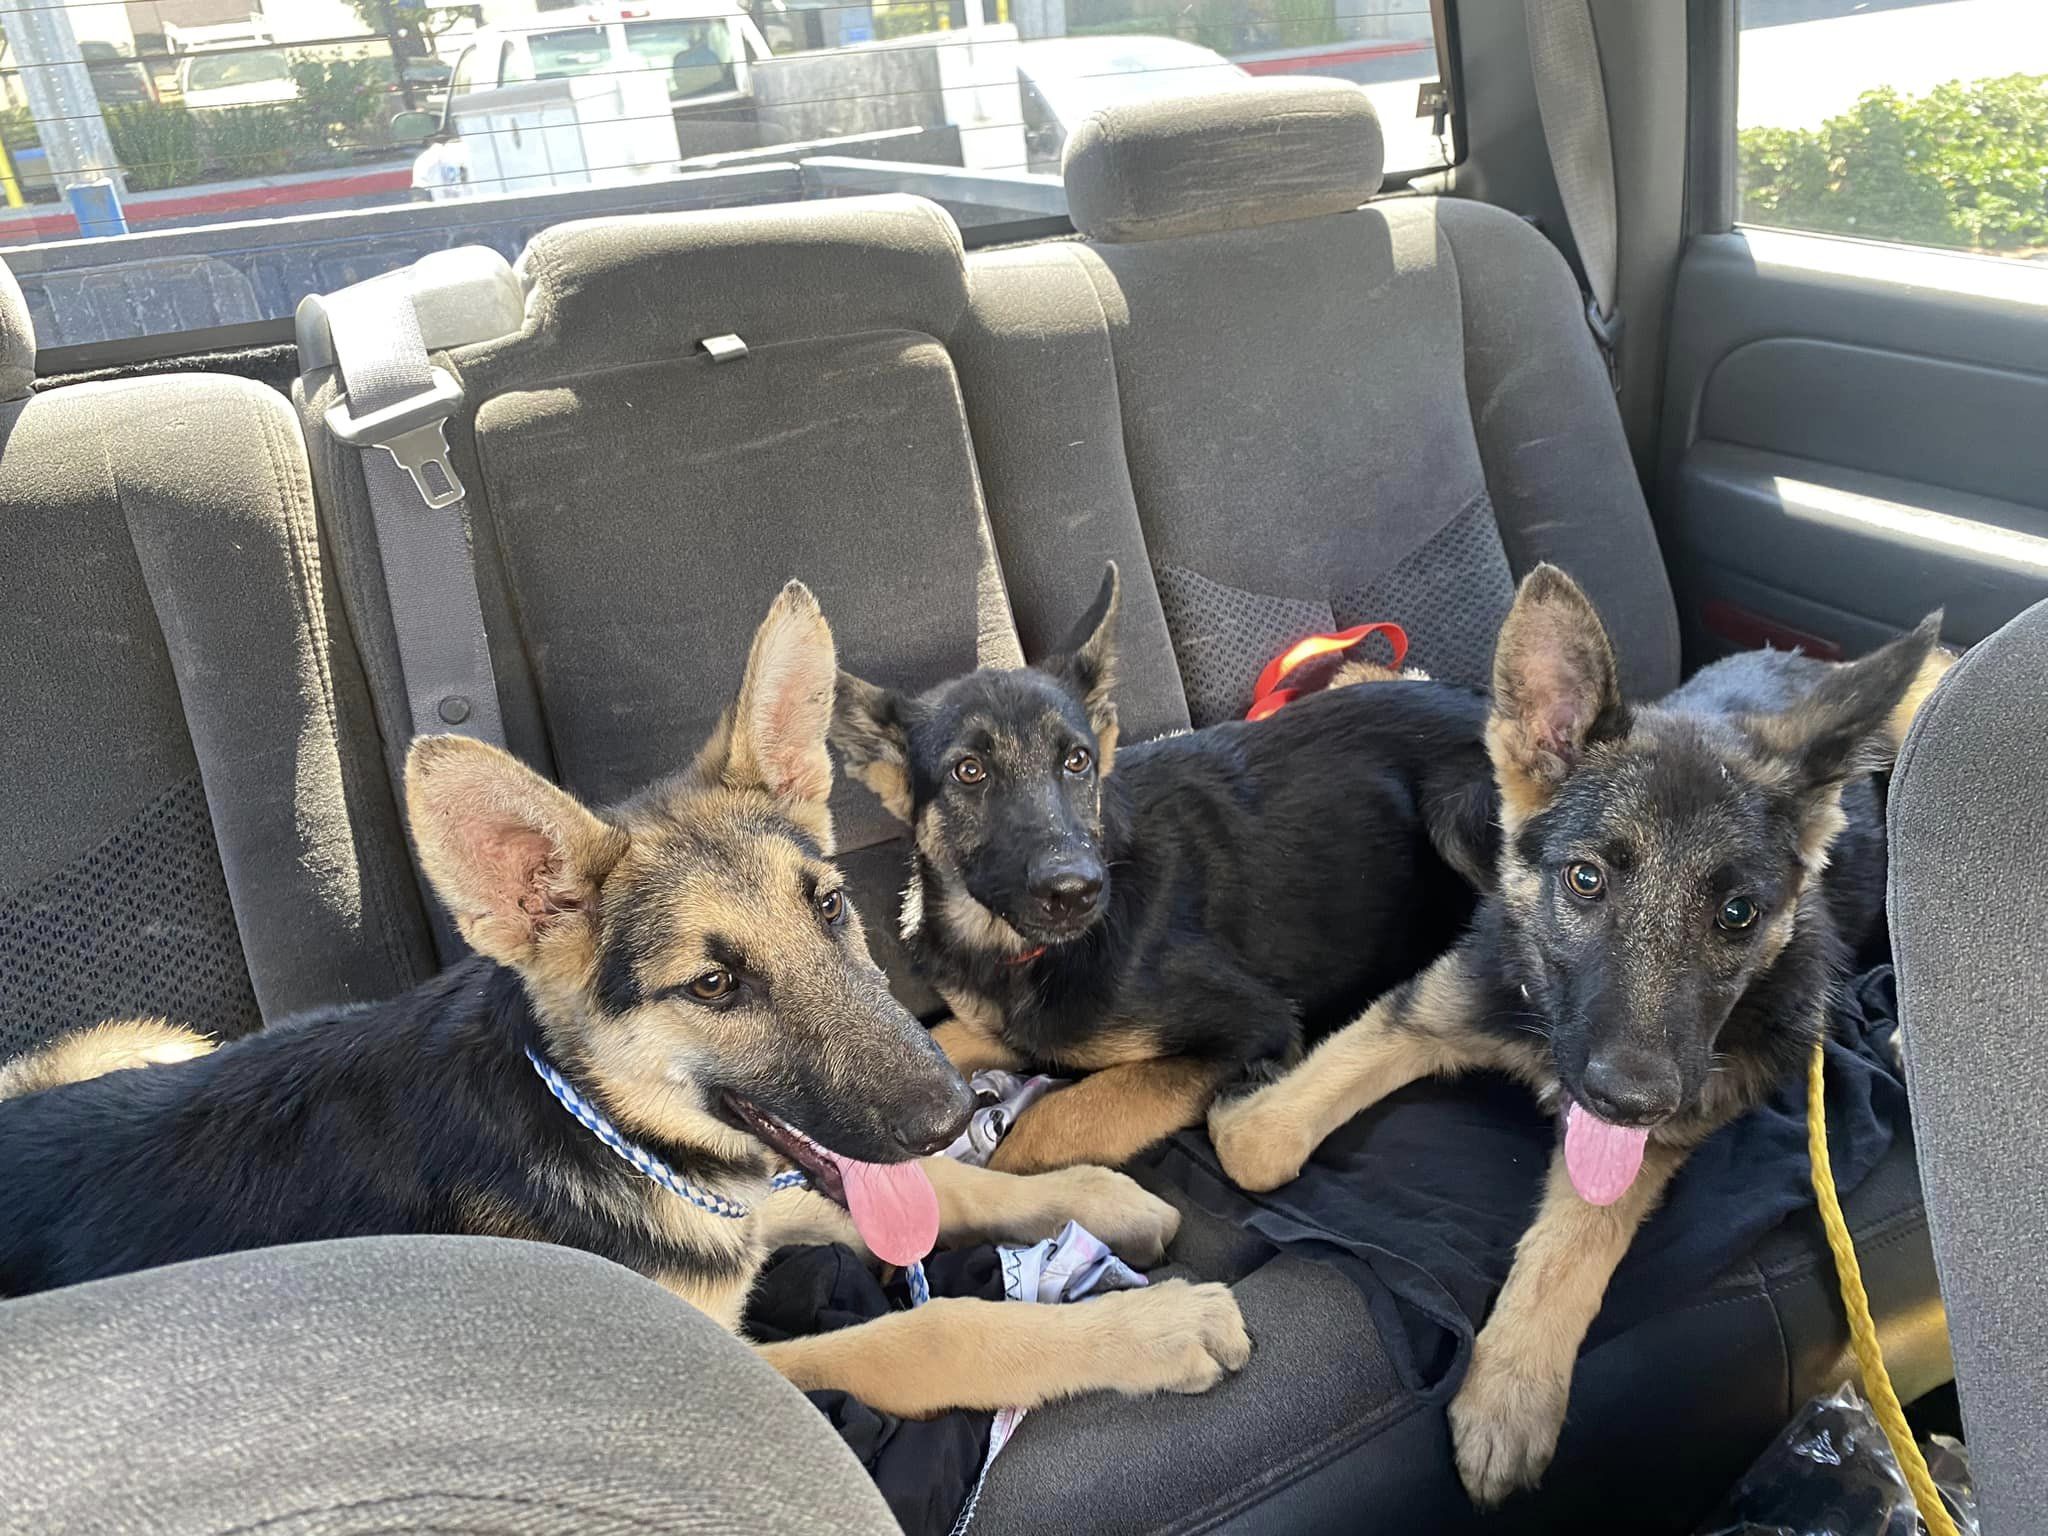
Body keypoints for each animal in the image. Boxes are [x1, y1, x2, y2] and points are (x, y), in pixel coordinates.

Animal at [0, 585, 1245, 1417]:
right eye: (714, 984)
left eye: (830, 909)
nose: (958, 1108)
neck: (588, 1122)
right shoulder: (724, 1359)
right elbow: (924, 1333)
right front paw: (1148, 1324)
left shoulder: (742, 1200)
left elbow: (919, 1193)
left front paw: (1079, 1191)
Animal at [823, 565, 1499, 1179]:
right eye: (970, 772)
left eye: (1077, 761)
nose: (1077, 892)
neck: (1014, 952)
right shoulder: (991, 1031)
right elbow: (934, 1039)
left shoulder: (1249, 1028)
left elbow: (1055, 1120)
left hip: (1454, 803)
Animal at [1212, 561, 1949, 1507]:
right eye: (1586, 880)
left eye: (1738, 914)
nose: (1630, 1098)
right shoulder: (1441, 1001)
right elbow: (1257, 1143)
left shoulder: (1657, 1129)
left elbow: (1571, 1245)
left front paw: (1510, 1395)